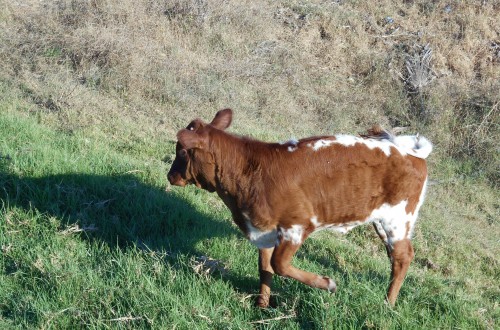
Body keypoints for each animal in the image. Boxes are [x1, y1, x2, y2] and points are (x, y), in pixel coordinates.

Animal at [166, 109, 432, 308]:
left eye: (182, 151)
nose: (170, 176)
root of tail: (405, 150)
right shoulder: (263, 230)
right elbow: (265, 268)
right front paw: (262, 306)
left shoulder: (297, 225)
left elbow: (279, 265)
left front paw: (327, 284)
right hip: (382, 221)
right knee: (395, 257)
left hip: (398, 219)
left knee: (403, 257)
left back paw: (388, 303)